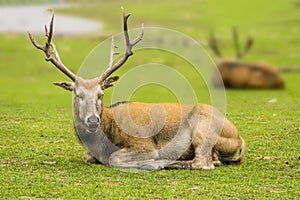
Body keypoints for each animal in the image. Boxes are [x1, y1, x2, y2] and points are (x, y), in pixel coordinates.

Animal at [27, 8, 244, 170]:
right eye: (77, 94)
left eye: (100, 94)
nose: (92, 120)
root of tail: (239, 138)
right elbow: (88, 157)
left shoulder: (144, 145)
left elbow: (114, 158)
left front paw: (151, 162)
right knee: (212, 160)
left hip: (203, 128)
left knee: (202, 162)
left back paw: (161, 163)